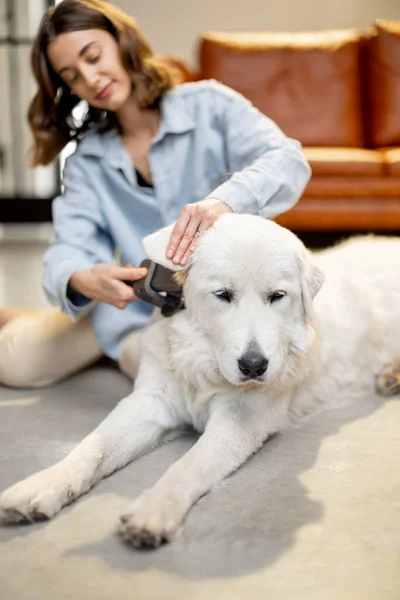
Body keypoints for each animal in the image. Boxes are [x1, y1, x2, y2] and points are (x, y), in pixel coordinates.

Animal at [0, 216, 400, 548]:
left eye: (277, 297)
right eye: (223, 295)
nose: (253, 365)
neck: (201, 361)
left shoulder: (240, 419)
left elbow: (188, 465)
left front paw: (154, 510)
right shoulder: (149, 403)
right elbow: (92, 448)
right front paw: (43, 485)